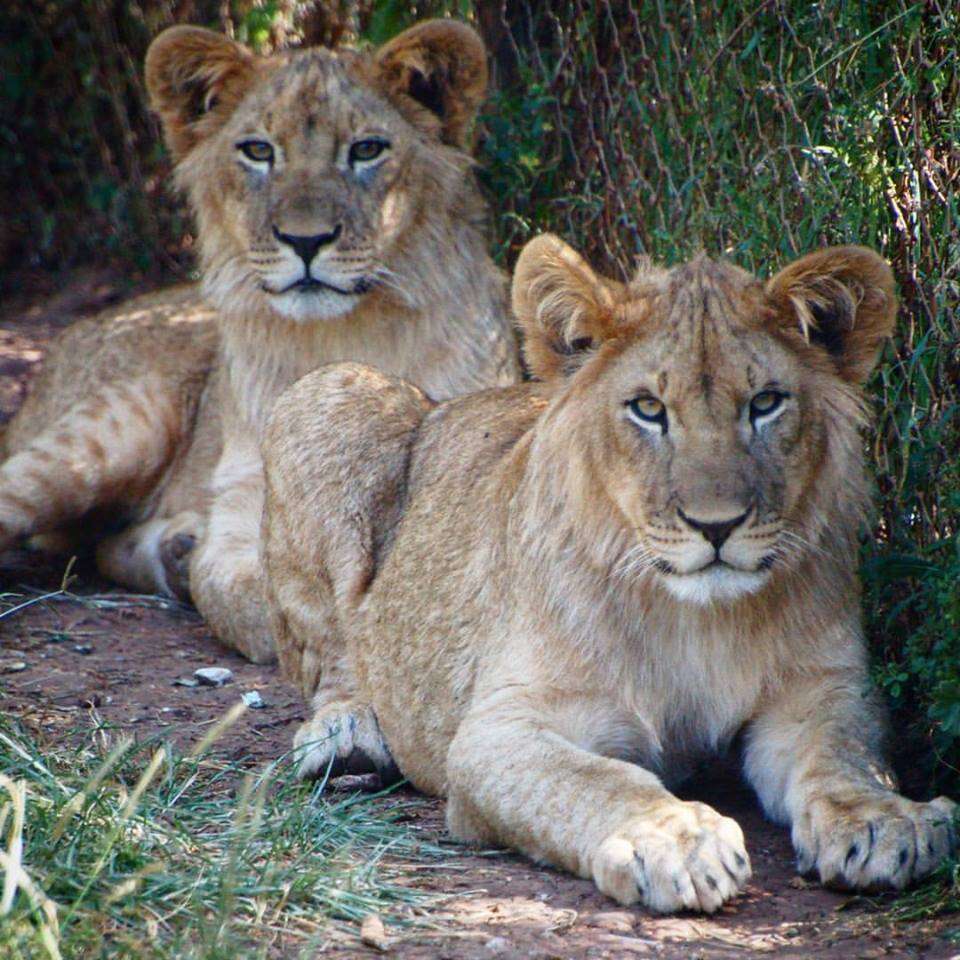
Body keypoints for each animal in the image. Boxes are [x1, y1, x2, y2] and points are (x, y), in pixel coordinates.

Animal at [0, 18, 516, 664]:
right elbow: (254, 603)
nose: (306, 240)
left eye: (367, 150)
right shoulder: (243, 511)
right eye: (259, 151)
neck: (340, 337)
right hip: (113, 427)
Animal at [260, 236, 952, 912]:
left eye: (765, 404)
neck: (699, 618)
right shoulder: (500, 728)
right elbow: (599, 779)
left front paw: (884, 821)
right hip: (328, 392)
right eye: (648, 408)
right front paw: (676, 840)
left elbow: (843, 758)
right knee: (331, 657)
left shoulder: (821, 691)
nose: (717, 526)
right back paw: (348, 737)